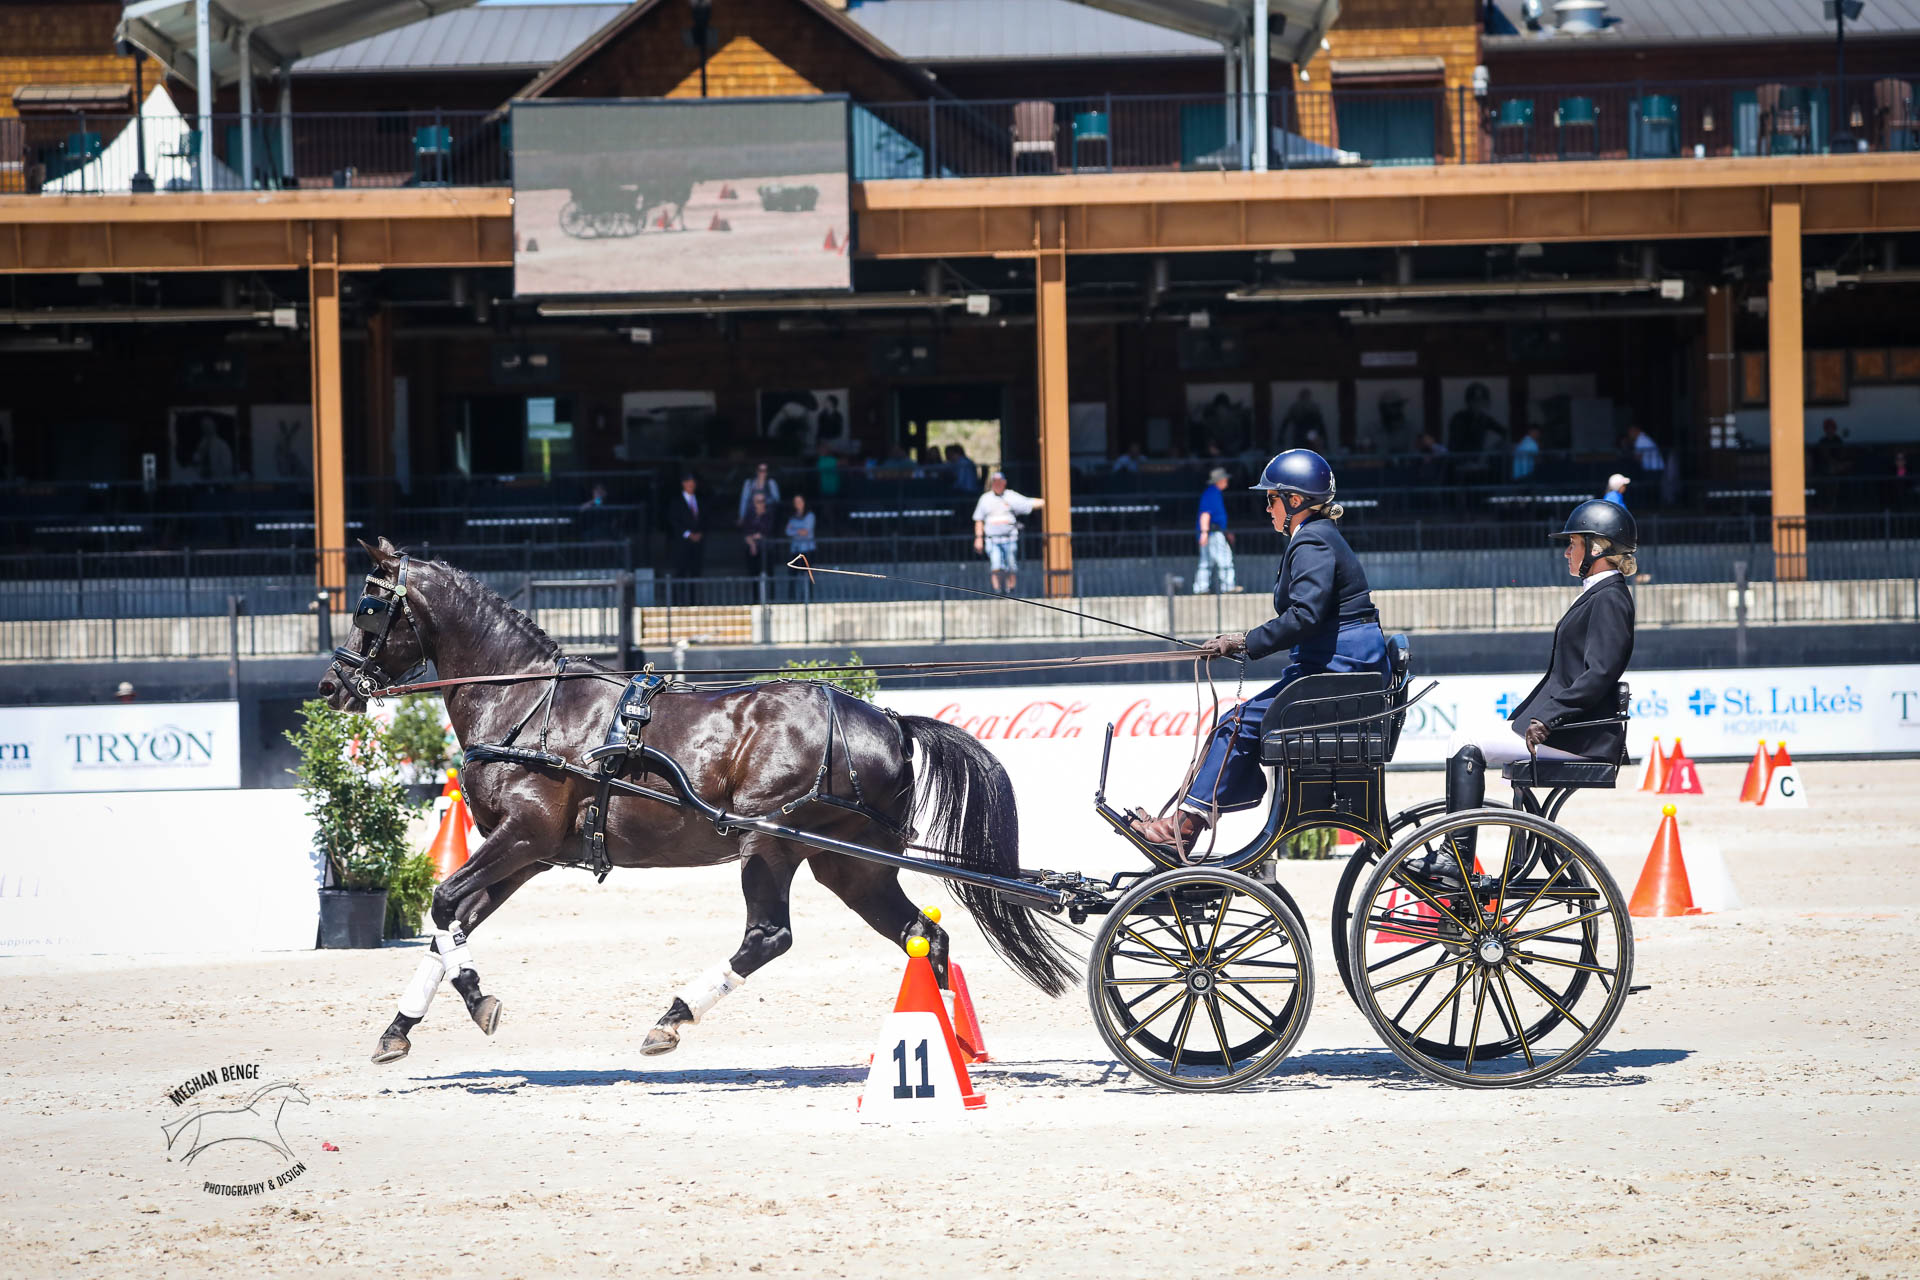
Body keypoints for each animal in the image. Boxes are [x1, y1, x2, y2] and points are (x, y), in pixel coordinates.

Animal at [320, 537, 1075, 1059]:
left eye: (367, 605)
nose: (332, 686)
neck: (527, 702)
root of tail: (888, 720)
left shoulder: (523, 835)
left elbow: (446, 903)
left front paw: (478, 1000)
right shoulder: (530, 854)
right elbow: (454, 922)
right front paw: (399, 1028)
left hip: (769, 842)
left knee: (769, 936)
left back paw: (672, 1019)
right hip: (851, 865)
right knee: (924, 934)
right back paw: (957, 1046)